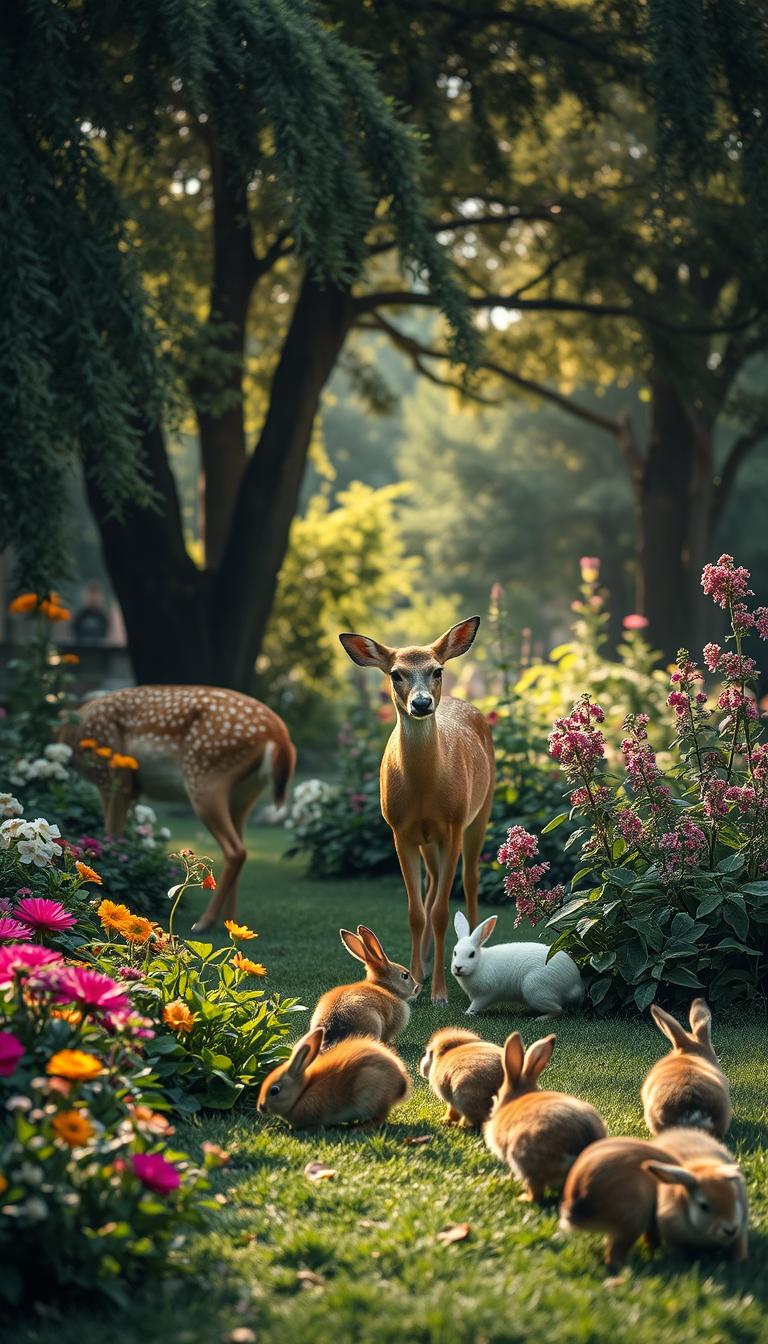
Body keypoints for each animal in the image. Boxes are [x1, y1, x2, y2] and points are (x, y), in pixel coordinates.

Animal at [64, 686, 296, 931]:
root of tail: (279, 734)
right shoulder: (132, 789)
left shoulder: (114, 776)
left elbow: (111, 833)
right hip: (244, 795)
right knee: (241, 845)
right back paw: (232, 923)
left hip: (204, 777)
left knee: (236, 851)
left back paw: (205, 922)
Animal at [257, 1026, 411, 1129]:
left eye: (274, 1091)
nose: (261, 1107)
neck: (302, 1092)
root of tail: (401, 1085)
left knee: (380, 1117)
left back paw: (360, 1128)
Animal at [340, 618, 495, 1004]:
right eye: (396, 673)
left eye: (437, 670)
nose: (422, 703)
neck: (424, 790)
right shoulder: (400, 830)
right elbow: (415, 912)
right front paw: (415, 980)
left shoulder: (452, 826)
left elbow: (440, 912)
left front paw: (440, 993)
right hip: (429, 841)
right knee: (432, 886)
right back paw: (423, 964)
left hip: (480, 811)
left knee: (469, 881)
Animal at [451, 912, 584, 1019]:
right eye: (455, 952)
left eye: (472, 954)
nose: (458, 967)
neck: (480, 964)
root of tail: (575, 983)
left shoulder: (485, 995)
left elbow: (476, 1005)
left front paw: (468, 1013)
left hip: (535, 990)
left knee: (558, 1010)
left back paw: (540, 1019)